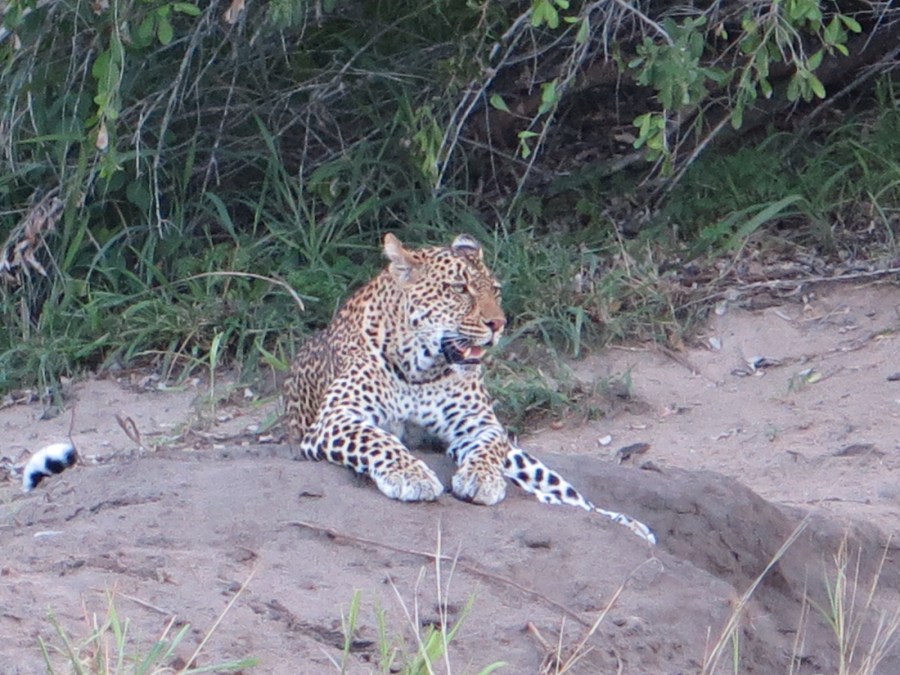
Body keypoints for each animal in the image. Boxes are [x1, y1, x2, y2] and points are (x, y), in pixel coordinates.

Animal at [284, 233, 655, 544]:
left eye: (496, 290)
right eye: (459, 288)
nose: (499, 324)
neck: (421, 369)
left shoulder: (480, 424)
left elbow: (488, 448)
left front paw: (482, 479)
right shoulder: (336, 418)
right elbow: (378, 439)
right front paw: (410, 475)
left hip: (522, 457)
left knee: (564, 495)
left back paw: (629, 525)